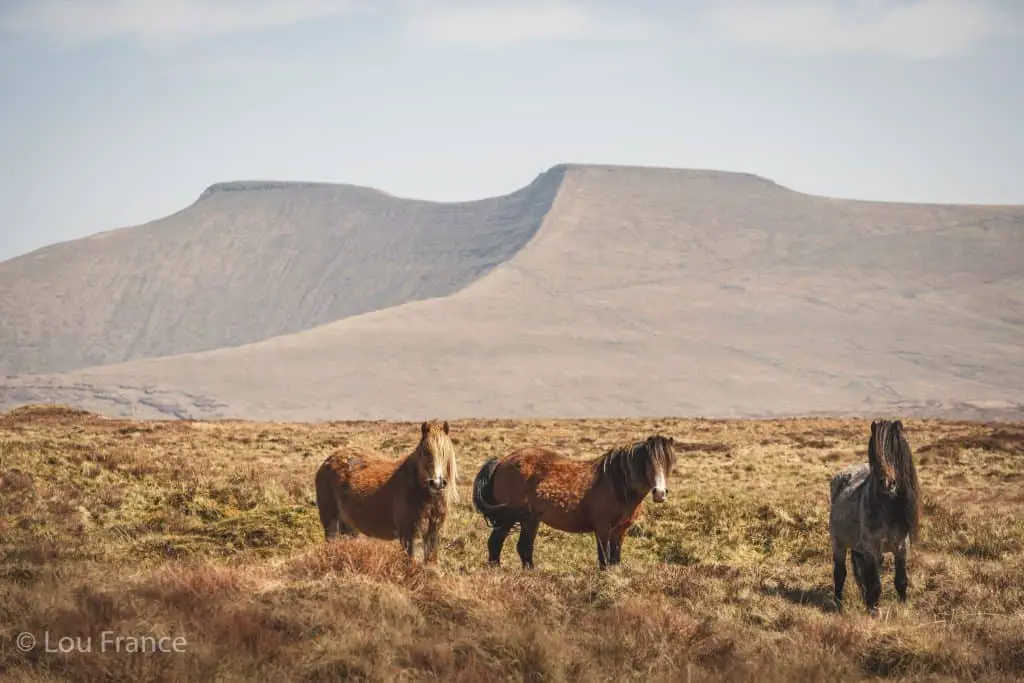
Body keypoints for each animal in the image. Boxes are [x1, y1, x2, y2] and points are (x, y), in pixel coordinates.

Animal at [311, 419, 456, 565]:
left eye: (445, 452)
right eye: (425, 452)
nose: (436, 483)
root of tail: (327, 461)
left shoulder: (433, 533)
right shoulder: (408, 535)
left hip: (349, 526)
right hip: (331, 523)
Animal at [473, 436, 679, 569]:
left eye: (669, 463)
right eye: (648, 462)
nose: (660, 493)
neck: (616, 482)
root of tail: (502, 462)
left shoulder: (621, 530)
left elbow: (615, 559)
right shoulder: (602, 528)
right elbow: (604, 559)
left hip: (530, 520)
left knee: (523, 547)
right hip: (509, 519)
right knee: (497, 544)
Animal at [827, 419, 925, 618]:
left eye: (895, 449)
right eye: (873, 451)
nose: (887, 483)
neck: (886, 507)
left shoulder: (902, 547)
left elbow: (901, 580)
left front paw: (903, 607)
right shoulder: (871, 548)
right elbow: (874, 584)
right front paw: (874, 611)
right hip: (839, 543)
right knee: (840, 573)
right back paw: (838, 603)